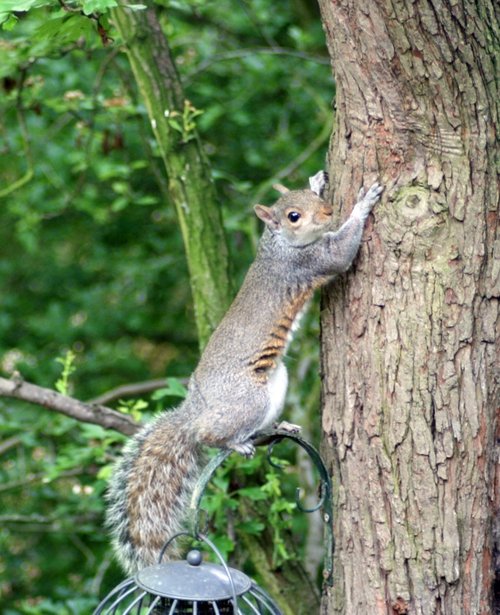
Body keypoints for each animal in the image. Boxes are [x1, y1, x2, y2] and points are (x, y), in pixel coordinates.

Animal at [105, 171, 382, 576]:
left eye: (308, 199)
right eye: (294, 216)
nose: (329, 211)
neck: (275, 244)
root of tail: (196, 410)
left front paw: (318, 179)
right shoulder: (307, 262)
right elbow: (340, 252)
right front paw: (363, 203)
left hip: (276, 382)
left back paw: (278, 427)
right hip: (248, 399)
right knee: (209, 434)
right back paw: (233, 441)